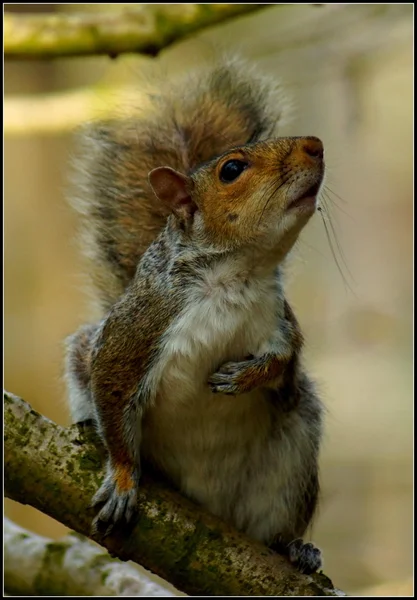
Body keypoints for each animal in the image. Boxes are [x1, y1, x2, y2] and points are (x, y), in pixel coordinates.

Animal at [64, 58, 324, 576]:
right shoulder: (139, 329)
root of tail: (210, 503)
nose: (317, 146)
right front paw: (123, 480)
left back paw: (294, 547)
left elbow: (287, 361)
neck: (235, 278)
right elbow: (111, 390)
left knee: (275, 522)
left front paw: (246, 376)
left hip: (293, 458)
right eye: (232, 169)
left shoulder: (278, 320)